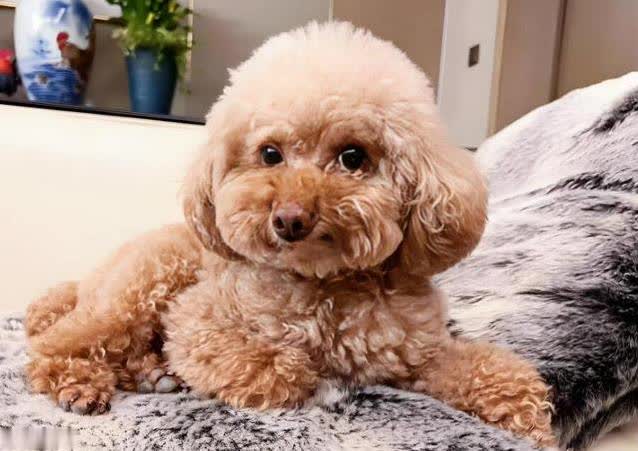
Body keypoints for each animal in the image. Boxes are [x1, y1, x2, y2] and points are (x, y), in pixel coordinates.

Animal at [25, 22, 555, 447]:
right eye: (270, 154)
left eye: (352, 157)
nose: (290, 218)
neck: (324, 285)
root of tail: (86, 280)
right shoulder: (197, 323)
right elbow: (275, 367)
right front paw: (303, 374)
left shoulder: (417, 355)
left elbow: (487, 368)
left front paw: (529, 418)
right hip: (143, 286)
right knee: (55, 342)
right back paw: (83, 381)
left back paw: (152, 375)